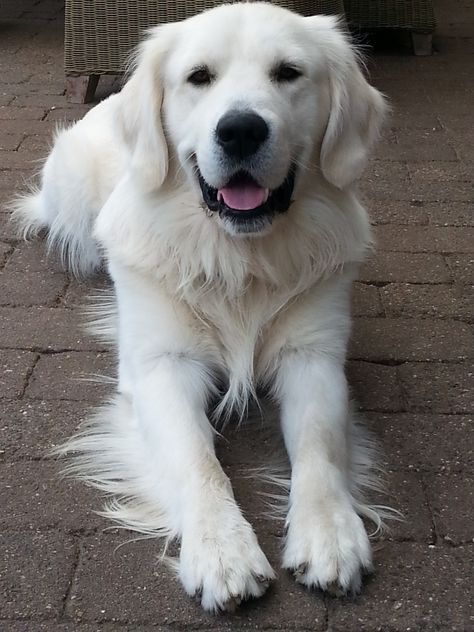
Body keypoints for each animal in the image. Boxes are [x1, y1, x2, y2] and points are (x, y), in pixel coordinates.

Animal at [15, 0, 392, 612]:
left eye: (289, 73)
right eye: (199, 77)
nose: (240, 130)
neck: (239, 260)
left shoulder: (313, 356)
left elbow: (319, 445)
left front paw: (330, 534)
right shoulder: (162, 365)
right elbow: (198, 459)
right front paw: (222, 551)